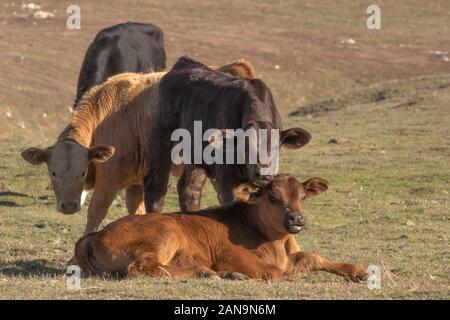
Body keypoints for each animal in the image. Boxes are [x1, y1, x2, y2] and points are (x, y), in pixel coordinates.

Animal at [74, 174, 370, 282]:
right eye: (273, 198)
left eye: (303, 197)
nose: (296, 219)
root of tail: (96, 234)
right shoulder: (231, 254)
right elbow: (272, 273)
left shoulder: (292, 259)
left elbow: (315, 257)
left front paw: (359, 272)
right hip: (167, 232)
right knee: (141, 267)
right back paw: (209, 273)